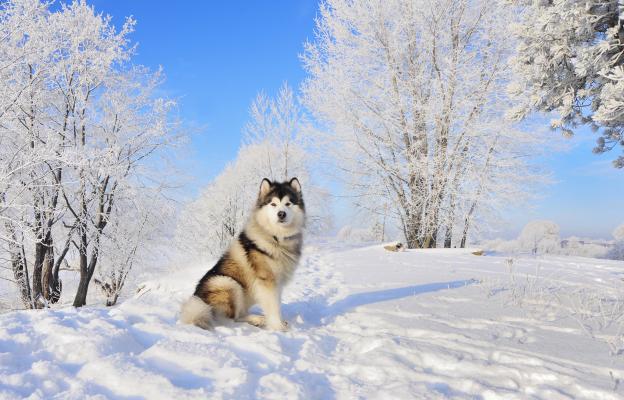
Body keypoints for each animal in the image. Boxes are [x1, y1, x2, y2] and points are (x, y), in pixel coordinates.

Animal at [179, 178, 306, 332]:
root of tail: (198, 302)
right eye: (273, 204)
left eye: (288, 203)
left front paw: (279, 322)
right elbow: (273, 307)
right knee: (232, 319)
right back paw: (255, 320)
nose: (281, 214)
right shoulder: (267, 281)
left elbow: (276, 305)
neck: (276, 238)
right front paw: (277, 327)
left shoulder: (278, 282)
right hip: (227, 283)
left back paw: (259, 318)